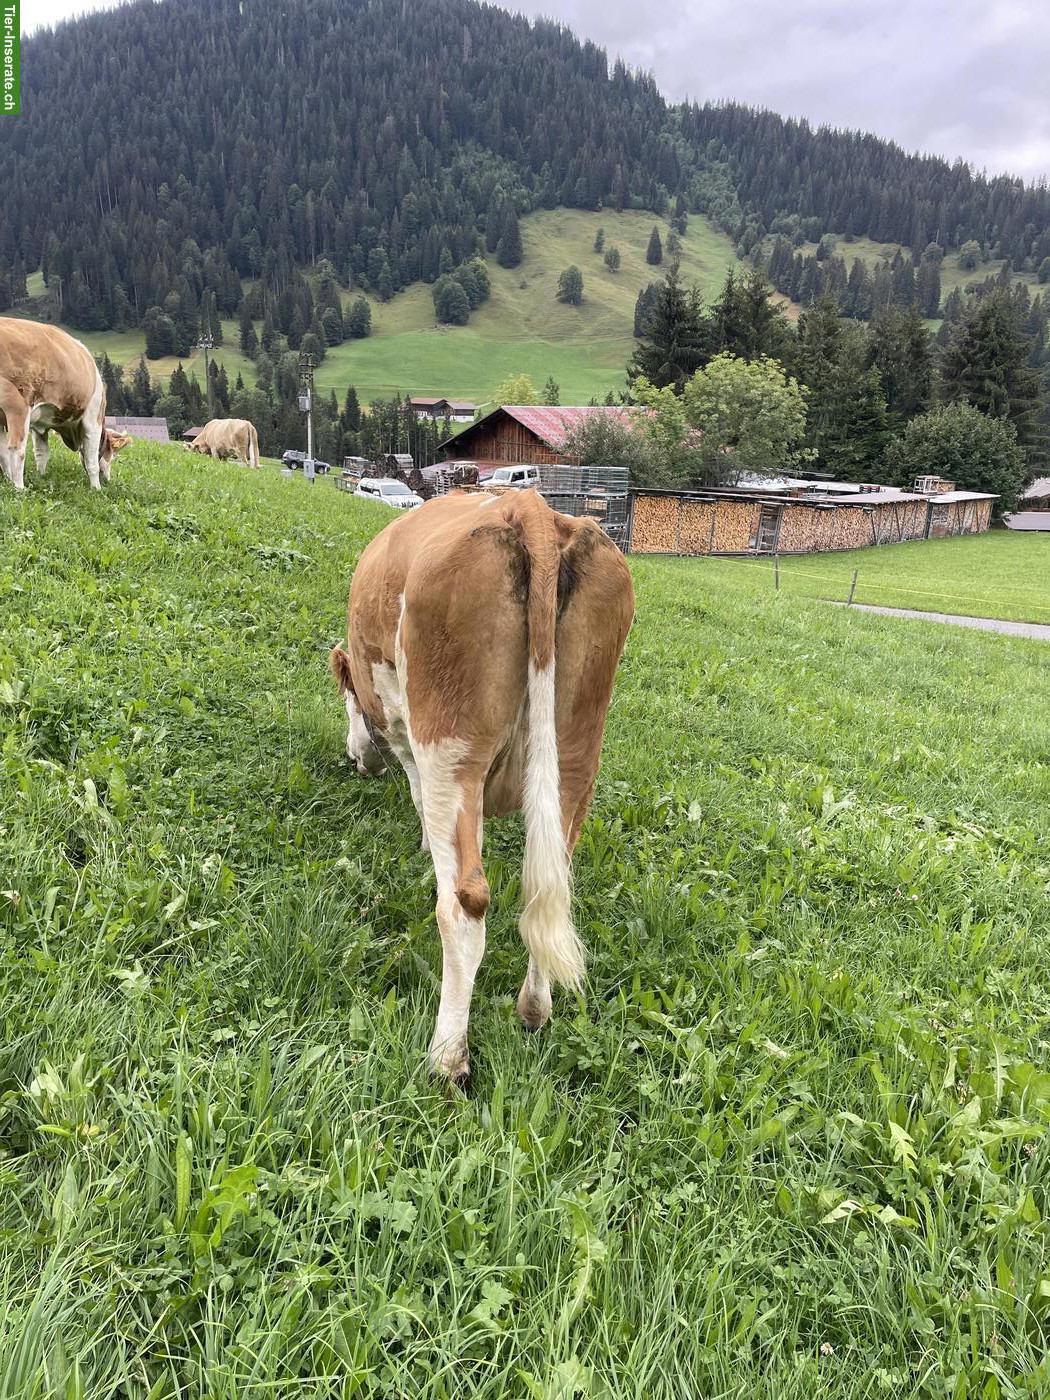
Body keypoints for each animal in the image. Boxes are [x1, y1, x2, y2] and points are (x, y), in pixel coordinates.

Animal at [0, 318, 131, 491]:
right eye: (112, 455)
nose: (107, 480)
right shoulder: (92, 420)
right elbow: (92, 461)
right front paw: (96, 489)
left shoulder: (40, 424)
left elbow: (41, 453)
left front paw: (41, 477)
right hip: (19, 406)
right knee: (17, 449)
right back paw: (19, 488)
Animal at [329, 489, 634, 1087]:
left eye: (349, 698)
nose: (358, 763)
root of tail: (531, 509)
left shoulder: (407, 735)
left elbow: (419, 799)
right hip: (576, 756)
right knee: (547, 885)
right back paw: (534, 1009)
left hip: (450, 746)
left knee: (464, 903)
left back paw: (448, 1057)